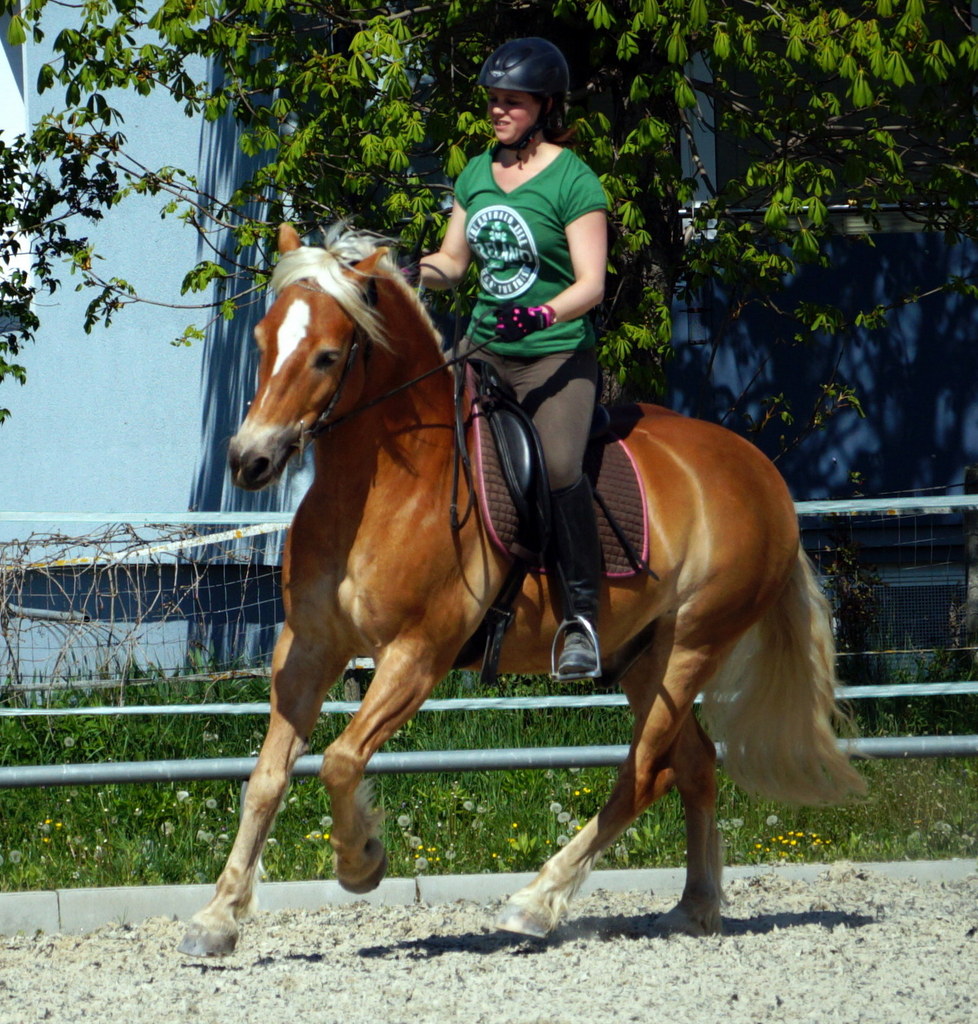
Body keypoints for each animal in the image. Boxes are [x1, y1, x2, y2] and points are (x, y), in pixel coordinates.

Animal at [178, 224, 864, 958]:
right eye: (262, 340)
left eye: (328, 356)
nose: (249, 460)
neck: (381, 491)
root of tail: (763, 475)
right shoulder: (306, 647)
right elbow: (266, 778)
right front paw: (217, 918)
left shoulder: (418, 654)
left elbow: (339, 760)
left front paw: (361, 861)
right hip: (643, 658)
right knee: (695, 765)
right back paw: (694, 908)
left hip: (692, 646)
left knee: (644, 774)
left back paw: (535, 903)